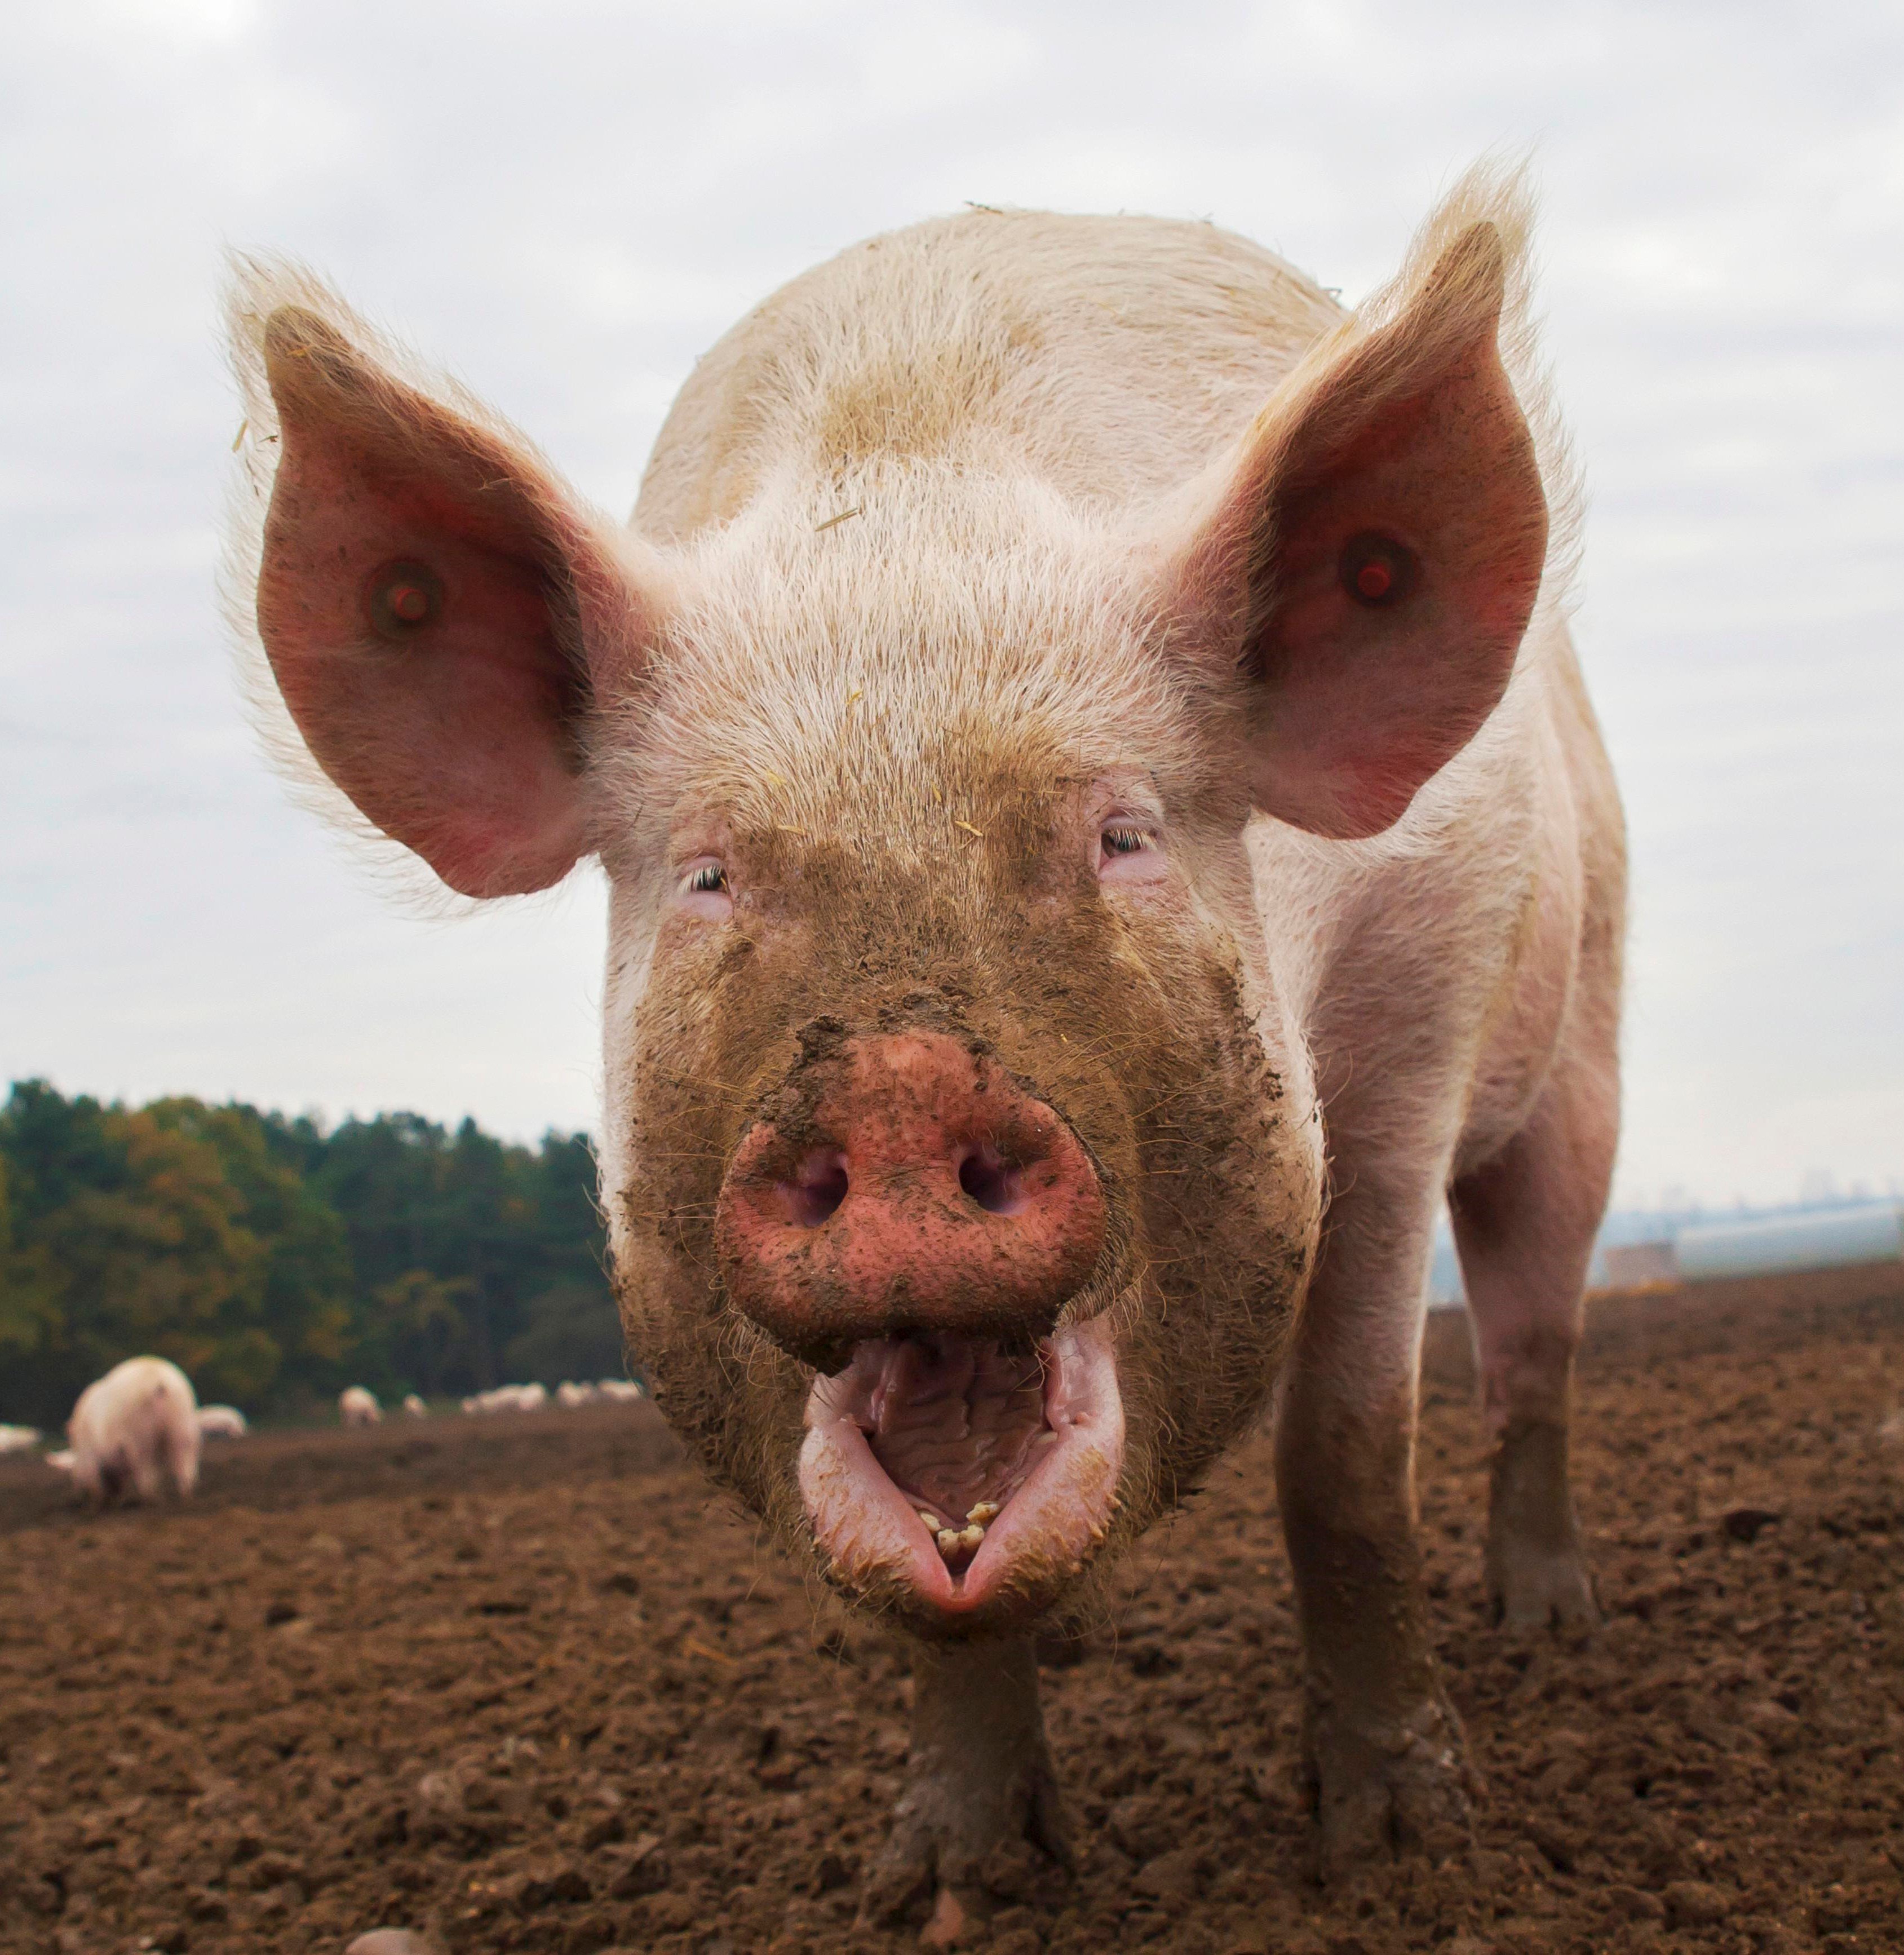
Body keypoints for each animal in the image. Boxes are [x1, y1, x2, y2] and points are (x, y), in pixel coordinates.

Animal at [67, 1368, 203, 1501]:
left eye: (74, 1450)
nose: (76, 1492)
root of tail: (160, 1383)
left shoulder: (90, 1453)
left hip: (142, 1436)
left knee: (147, 1473)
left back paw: (150, 1499)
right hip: (183, 1423)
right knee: (185, 1464)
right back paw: (185, 1497)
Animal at [224, 160, 1626, 1916]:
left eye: (1121, 834)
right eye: (708, 873)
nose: (896, 1085)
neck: (910, 474)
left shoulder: (1421, 1013)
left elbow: (1346, 1450)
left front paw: (1405, 1847)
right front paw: (948, 1883)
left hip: (1584, 1038)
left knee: (1534, 1339)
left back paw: (1547, 1619)